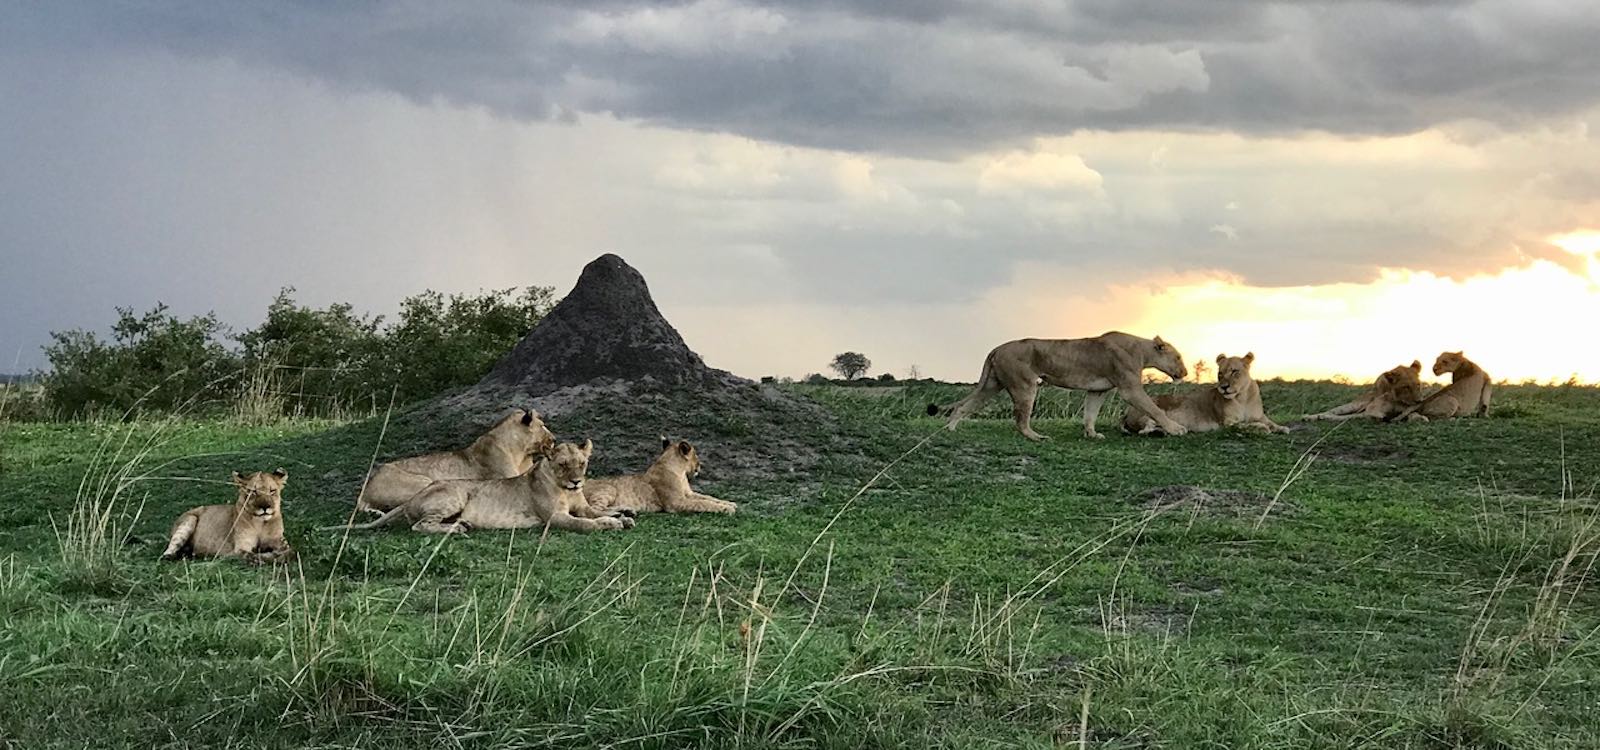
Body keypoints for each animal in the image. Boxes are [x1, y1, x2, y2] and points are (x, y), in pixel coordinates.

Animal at [162, 469, 294, 564]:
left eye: (272, 491)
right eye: (253, 492)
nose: (265, 507)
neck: (261, 523)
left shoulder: (279, 540)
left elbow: (289, 552)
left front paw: (274, 554)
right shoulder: (240, 547)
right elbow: (251, 555)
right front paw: (265, 555)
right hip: (190, 519)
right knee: (170, 549)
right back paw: (172, 555)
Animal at [325, 440, 633, 535]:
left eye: (581, 463)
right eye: (562, 464)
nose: (577, 481)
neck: (565, 491)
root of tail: (412, 498)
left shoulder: (581, 505)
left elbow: (593, 512)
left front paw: (622, 515)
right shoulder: (553, 518)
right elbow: (583, 523)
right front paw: (608, 523)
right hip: (455, 495)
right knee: (420, 526)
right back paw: (457, 529)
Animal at [584, 438, 737, 515]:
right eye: (696, 455)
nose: (700, 466)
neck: (681, 473)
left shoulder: (689, 494)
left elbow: (708, 497)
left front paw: (729, 503)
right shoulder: (676, 502)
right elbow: (702, 503)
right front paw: (727, 509)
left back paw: (626, 510)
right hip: (608, 488)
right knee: (593, 509)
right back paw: (619, 514)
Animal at [929, 331, 1190, 440]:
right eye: (1177, 357)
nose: (1185, 373)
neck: (1143, 351)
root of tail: (996, 348)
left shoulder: (1097, 390)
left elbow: (1090, 413)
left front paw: (1092, 434)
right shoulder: (1130, 389)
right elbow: (1155, 409)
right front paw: (1176, 429)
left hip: (993, 384)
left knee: (964, 406)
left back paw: (950, 429)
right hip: (1025, 384)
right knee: (1020, 419)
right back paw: (1036, 437)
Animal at [1122, 353, 1288, 435]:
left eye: (1234, 371)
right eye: (1220, 374)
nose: (1224, 387)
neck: (1243, 397)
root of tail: (1127, 412)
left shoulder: (1260, 416)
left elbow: (1270, 422)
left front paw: (1281, 428)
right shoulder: (1227, 423)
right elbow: (1247, 425)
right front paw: (1262, 429)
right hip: (1149, 412)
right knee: (1144, 430)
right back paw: (1161, 432)